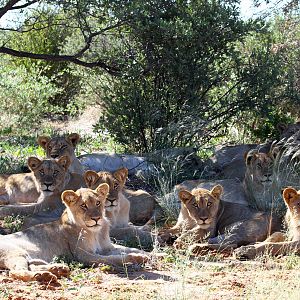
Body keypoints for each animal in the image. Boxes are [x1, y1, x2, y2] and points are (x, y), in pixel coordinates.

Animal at [0, 183, 149, 284]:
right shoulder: (83, 255)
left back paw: (58, 269)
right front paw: (133, 258)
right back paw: (44, 276)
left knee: (31, 265)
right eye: (83, 206)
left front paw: (146, 255)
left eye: (98, 203)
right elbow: (112, 258)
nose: (96, 218)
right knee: (16, 272)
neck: (95, 232)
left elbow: (130, 248)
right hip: (15, 253)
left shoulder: (107, 247)